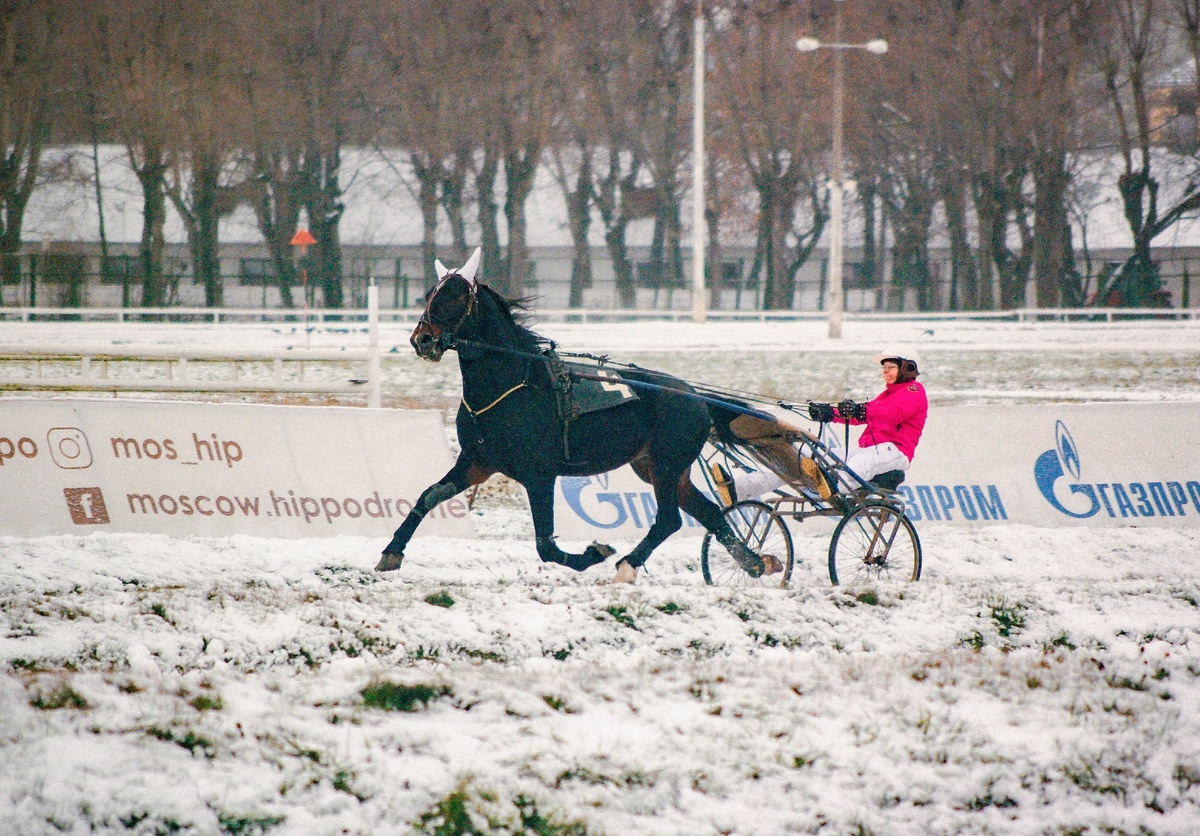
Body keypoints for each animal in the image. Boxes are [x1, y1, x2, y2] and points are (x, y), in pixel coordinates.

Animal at [376, 250, 758, 582]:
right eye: (430, 294)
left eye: (455, 296)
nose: (423, 340)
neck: (511, 384)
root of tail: (695, 395)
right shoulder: (477, 461)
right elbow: (428, 496)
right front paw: (392, 552)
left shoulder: (539, 474)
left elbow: (545, 545)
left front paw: (594, 552)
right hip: (659, 468)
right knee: (708, 513)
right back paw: (755, 562)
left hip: (666, 464)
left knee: (668, 520)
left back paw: (627, 566)